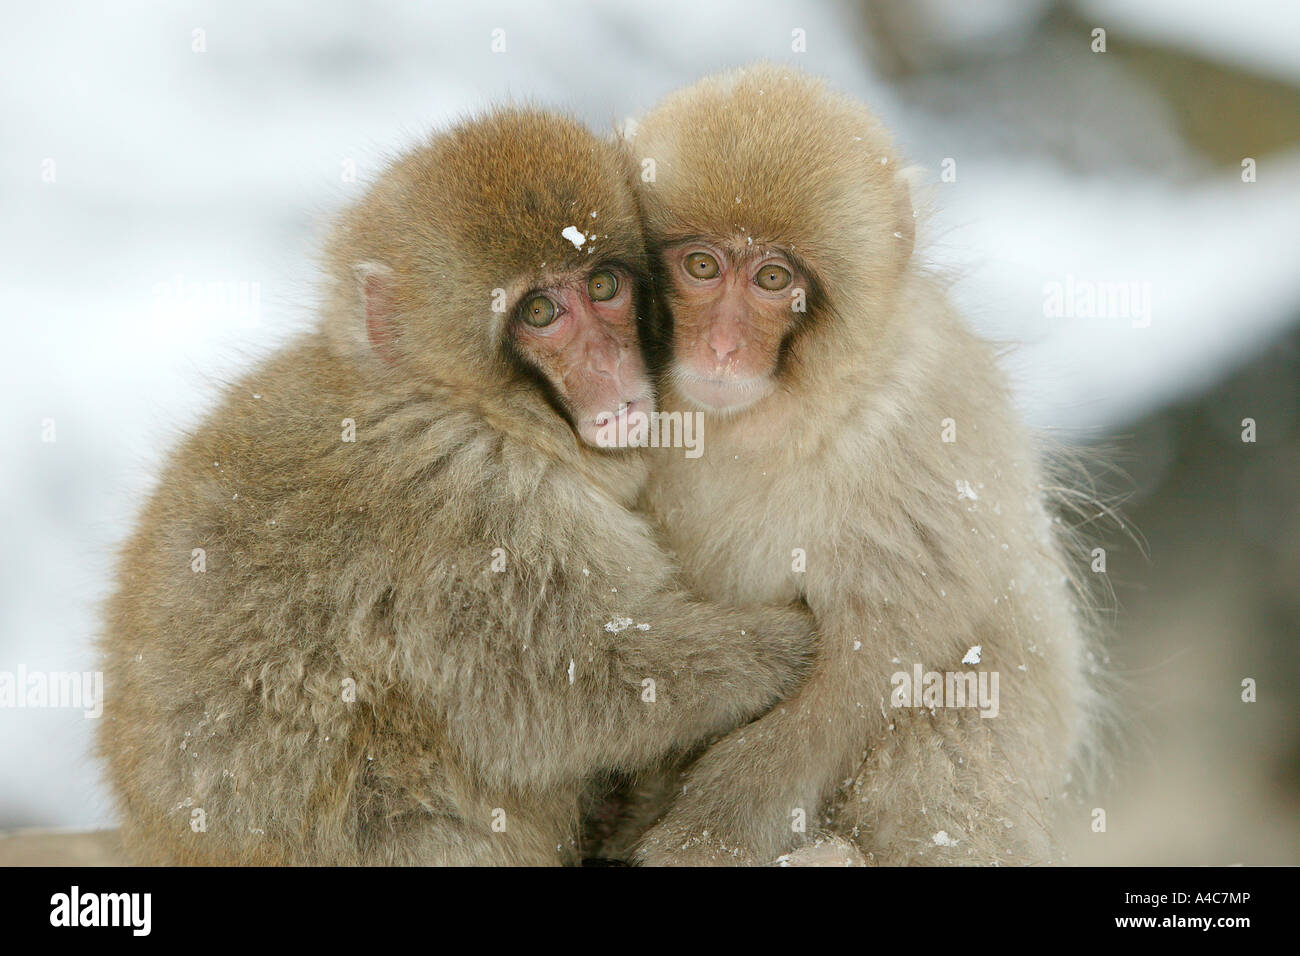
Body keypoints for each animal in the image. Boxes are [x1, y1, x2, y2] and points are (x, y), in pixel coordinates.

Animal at [101, 108, 816, 868]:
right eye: (540, 313)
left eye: (602, 287)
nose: (607, 361)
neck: (455, 400)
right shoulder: (477, 503)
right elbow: (567, 689)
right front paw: (784, 644)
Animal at [621, 61, 1097, 868]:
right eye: (701, 265)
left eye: (772, 279)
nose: (721, 347)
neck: (749, 424)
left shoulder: (915, 426)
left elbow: (879, 655)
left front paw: (709, 836)